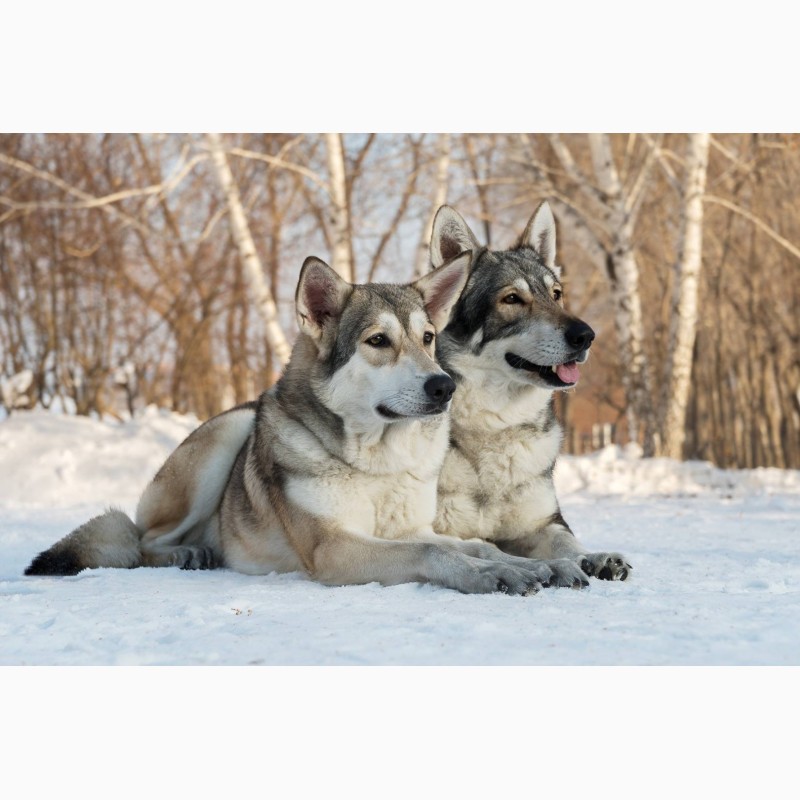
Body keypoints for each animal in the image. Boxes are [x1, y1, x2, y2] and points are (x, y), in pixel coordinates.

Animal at [26, 253, 576, 592]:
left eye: (427, 339)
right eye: (378, 341)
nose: (444, 387)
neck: (378, 466)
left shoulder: (414, 526)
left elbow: (480, 545)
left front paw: (546, 563)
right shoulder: (334, 547)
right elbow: (435, 555)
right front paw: (492, 576)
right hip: (230, 432)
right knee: (142, 541)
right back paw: (188, 554)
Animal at [428, 202, 636, 580]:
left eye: (556, 294)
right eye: (512, 299)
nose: (586, 335)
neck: (497, 426)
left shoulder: (544, 523)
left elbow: (568, 541)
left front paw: (594, 558)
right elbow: (486, 547)